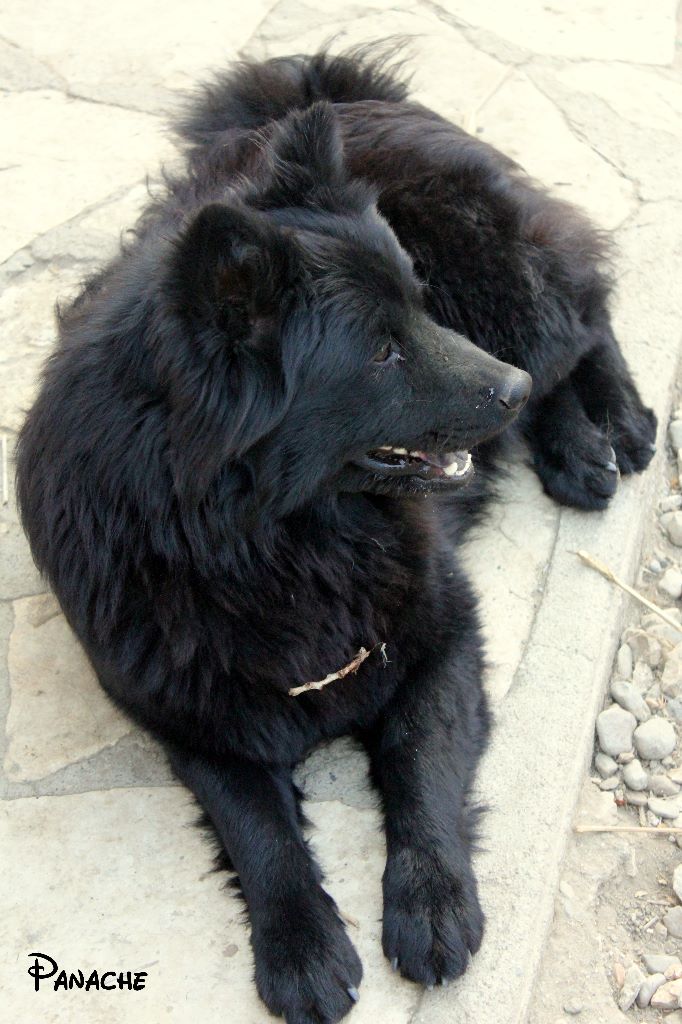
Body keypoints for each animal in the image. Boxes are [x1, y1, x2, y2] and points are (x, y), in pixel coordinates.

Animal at [16, 48, 655, 1024]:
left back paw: (607, 429)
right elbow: (258, 829)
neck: (270, 544)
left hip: (512, 296)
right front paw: (301, 947)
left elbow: (418, 761)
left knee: (583, 326)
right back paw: (569, 438)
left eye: (421, 311)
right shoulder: (193, 716)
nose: (502, 388)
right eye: (382, 353)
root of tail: (335, 91)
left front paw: (431, 901)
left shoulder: (442, 635)